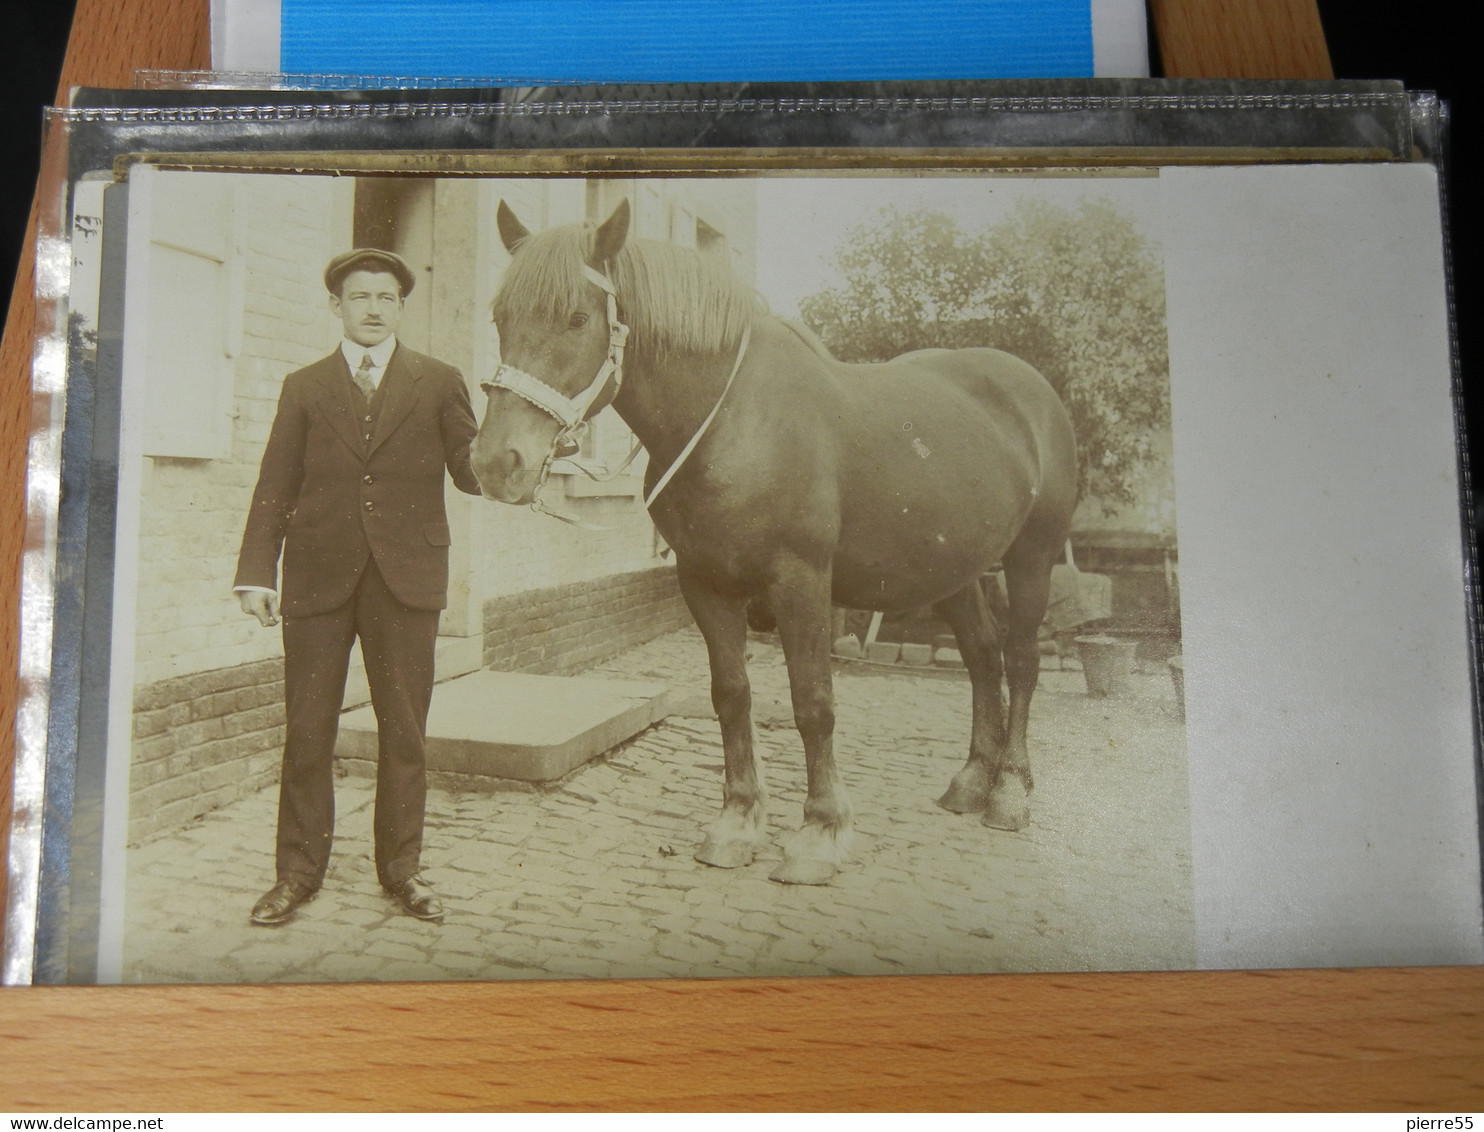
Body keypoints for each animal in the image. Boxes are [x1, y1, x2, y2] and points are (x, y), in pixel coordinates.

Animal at [474, 197, 1080, 884]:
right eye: (500, 317)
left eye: (577, 318)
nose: (496, 462)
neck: (733, 419)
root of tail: (1031, 393)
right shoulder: (703, 583)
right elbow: (732, 696)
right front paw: (738, 822)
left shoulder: (801, 584)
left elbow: (812, 703)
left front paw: (821, 832)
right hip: (954, 569)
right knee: (981, 656)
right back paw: (973, 780)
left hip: (1031, 558)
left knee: (1022, 660)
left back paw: (1010, 791)